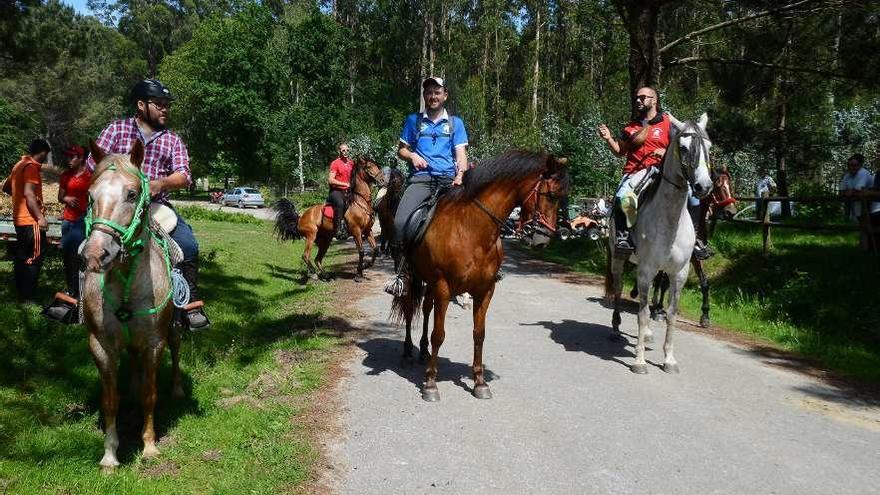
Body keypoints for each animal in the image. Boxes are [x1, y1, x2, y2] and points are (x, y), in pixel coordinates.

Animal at [81, 140, 182, 472]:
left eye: (132, 194)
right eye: (91, 195)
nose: (96, 255)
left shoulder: (154, 343)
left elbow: (150, 396)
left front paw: (149, 446)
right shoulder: (100, 345)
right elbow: (110, 401)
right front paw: (110, 455)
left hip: (173, 331)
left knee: (177, 352)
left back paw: (177, 389)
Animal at [392, 151, 572, 404]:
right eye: (550, 195)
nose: (542, 239)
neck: (472, 230)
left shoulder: (484, 290)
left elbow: (479, 335)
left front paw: (480, 382)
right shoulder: (444, 288)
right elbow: (439, 335)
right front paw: (430, 384)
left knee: (426, 308)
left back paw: (423, 350)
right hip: (413, 276)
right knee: (410, 308)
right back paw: (408, 351)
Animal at [612, 113, 716, 376]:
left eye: (709, 147)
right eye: (684, 147)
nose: (704, 187)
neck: (670, 219)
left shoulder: (679, 273)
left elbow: (670, 314)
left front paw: (669, 359)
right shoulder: (646, 269)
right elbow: (641, 313)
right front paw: (639, 362)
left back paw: (648, 335)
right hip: (619, 260)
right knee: (618, 290)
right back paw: (616, 328)